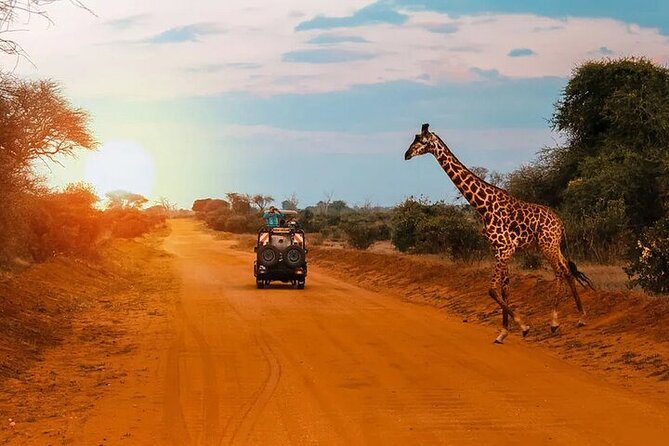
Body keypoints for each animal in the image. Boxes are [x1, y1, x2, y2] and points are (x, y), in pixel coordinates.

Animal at [404, 123, 593, 344]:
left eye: (422, 140)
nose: (406, 154)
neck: (483, 206)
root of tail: (560, 223)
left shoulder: (505, 248)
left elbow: (493, 289)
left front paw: (523, 326)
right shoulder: (498, 249)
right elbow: (504, 288)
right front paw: (503, 332)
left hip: (548, 245)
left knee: (560, 271)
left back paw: (555, 322)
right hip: (550, 245)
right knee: (567, 269)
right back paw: (581, 317)